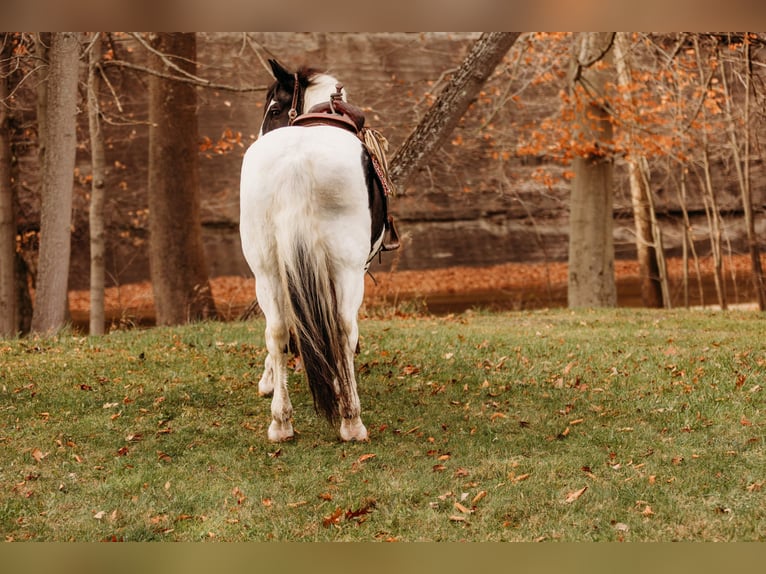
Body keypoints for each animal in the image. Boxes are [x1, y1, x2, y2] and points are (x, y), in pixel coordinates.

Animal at [238, 59, 396, 446]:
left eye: (274, 110)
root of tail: (296, 160)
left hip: (265, 268)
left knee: (277, 330)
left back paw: (281, 422)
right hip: (347, 267)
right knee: (342, 329)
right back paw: (351, 419)